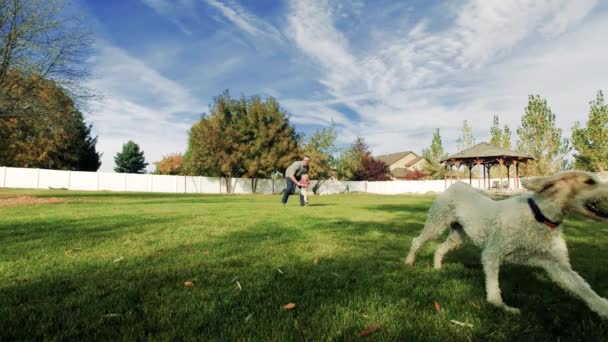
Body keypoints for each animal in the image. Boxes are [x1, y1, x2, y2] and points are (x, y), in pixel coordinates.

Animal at [404, 171, 608, 318]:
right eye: (589, 181)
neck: (539, 216)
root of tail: (457, 185)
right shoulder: (492, 254)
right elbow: (494, 290)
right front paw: (502, 307)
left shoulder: (558, 265)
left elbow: (583, 288)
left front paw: (602, 308)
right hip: (436, 223)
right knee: (416, 241)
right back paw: (409, 261)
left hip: (458, 236)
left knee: (439, 248)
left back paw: (437, 267)